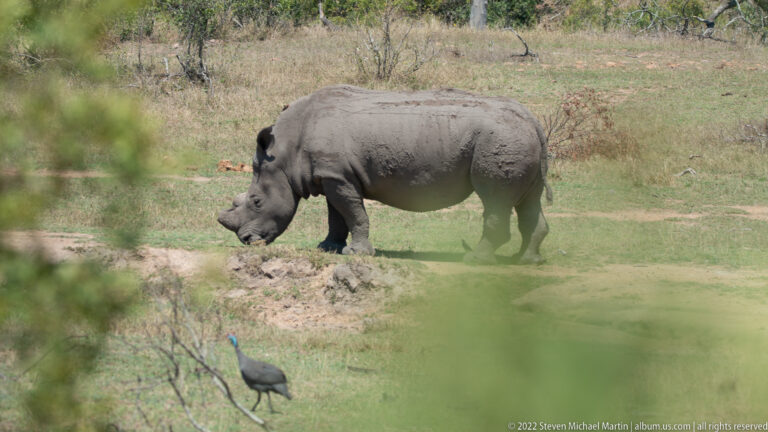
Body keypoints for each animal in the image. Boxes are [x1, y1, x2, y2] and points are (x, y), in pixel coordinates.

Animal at [218, 85, 552, 264]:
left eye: (256, 202)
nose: (247, 241)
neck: (284, 153)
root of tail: (533, 120)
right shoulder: (331, 175)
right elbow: (336, 216)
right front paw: (328, 249)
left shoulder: (338, 177)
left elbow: (354, 214)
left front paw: (357, 254)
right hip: (516, 138)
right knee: (528, 201)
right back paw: (528, 260)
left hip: (499, 139)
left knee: (495, 200)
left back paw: (476, 260)